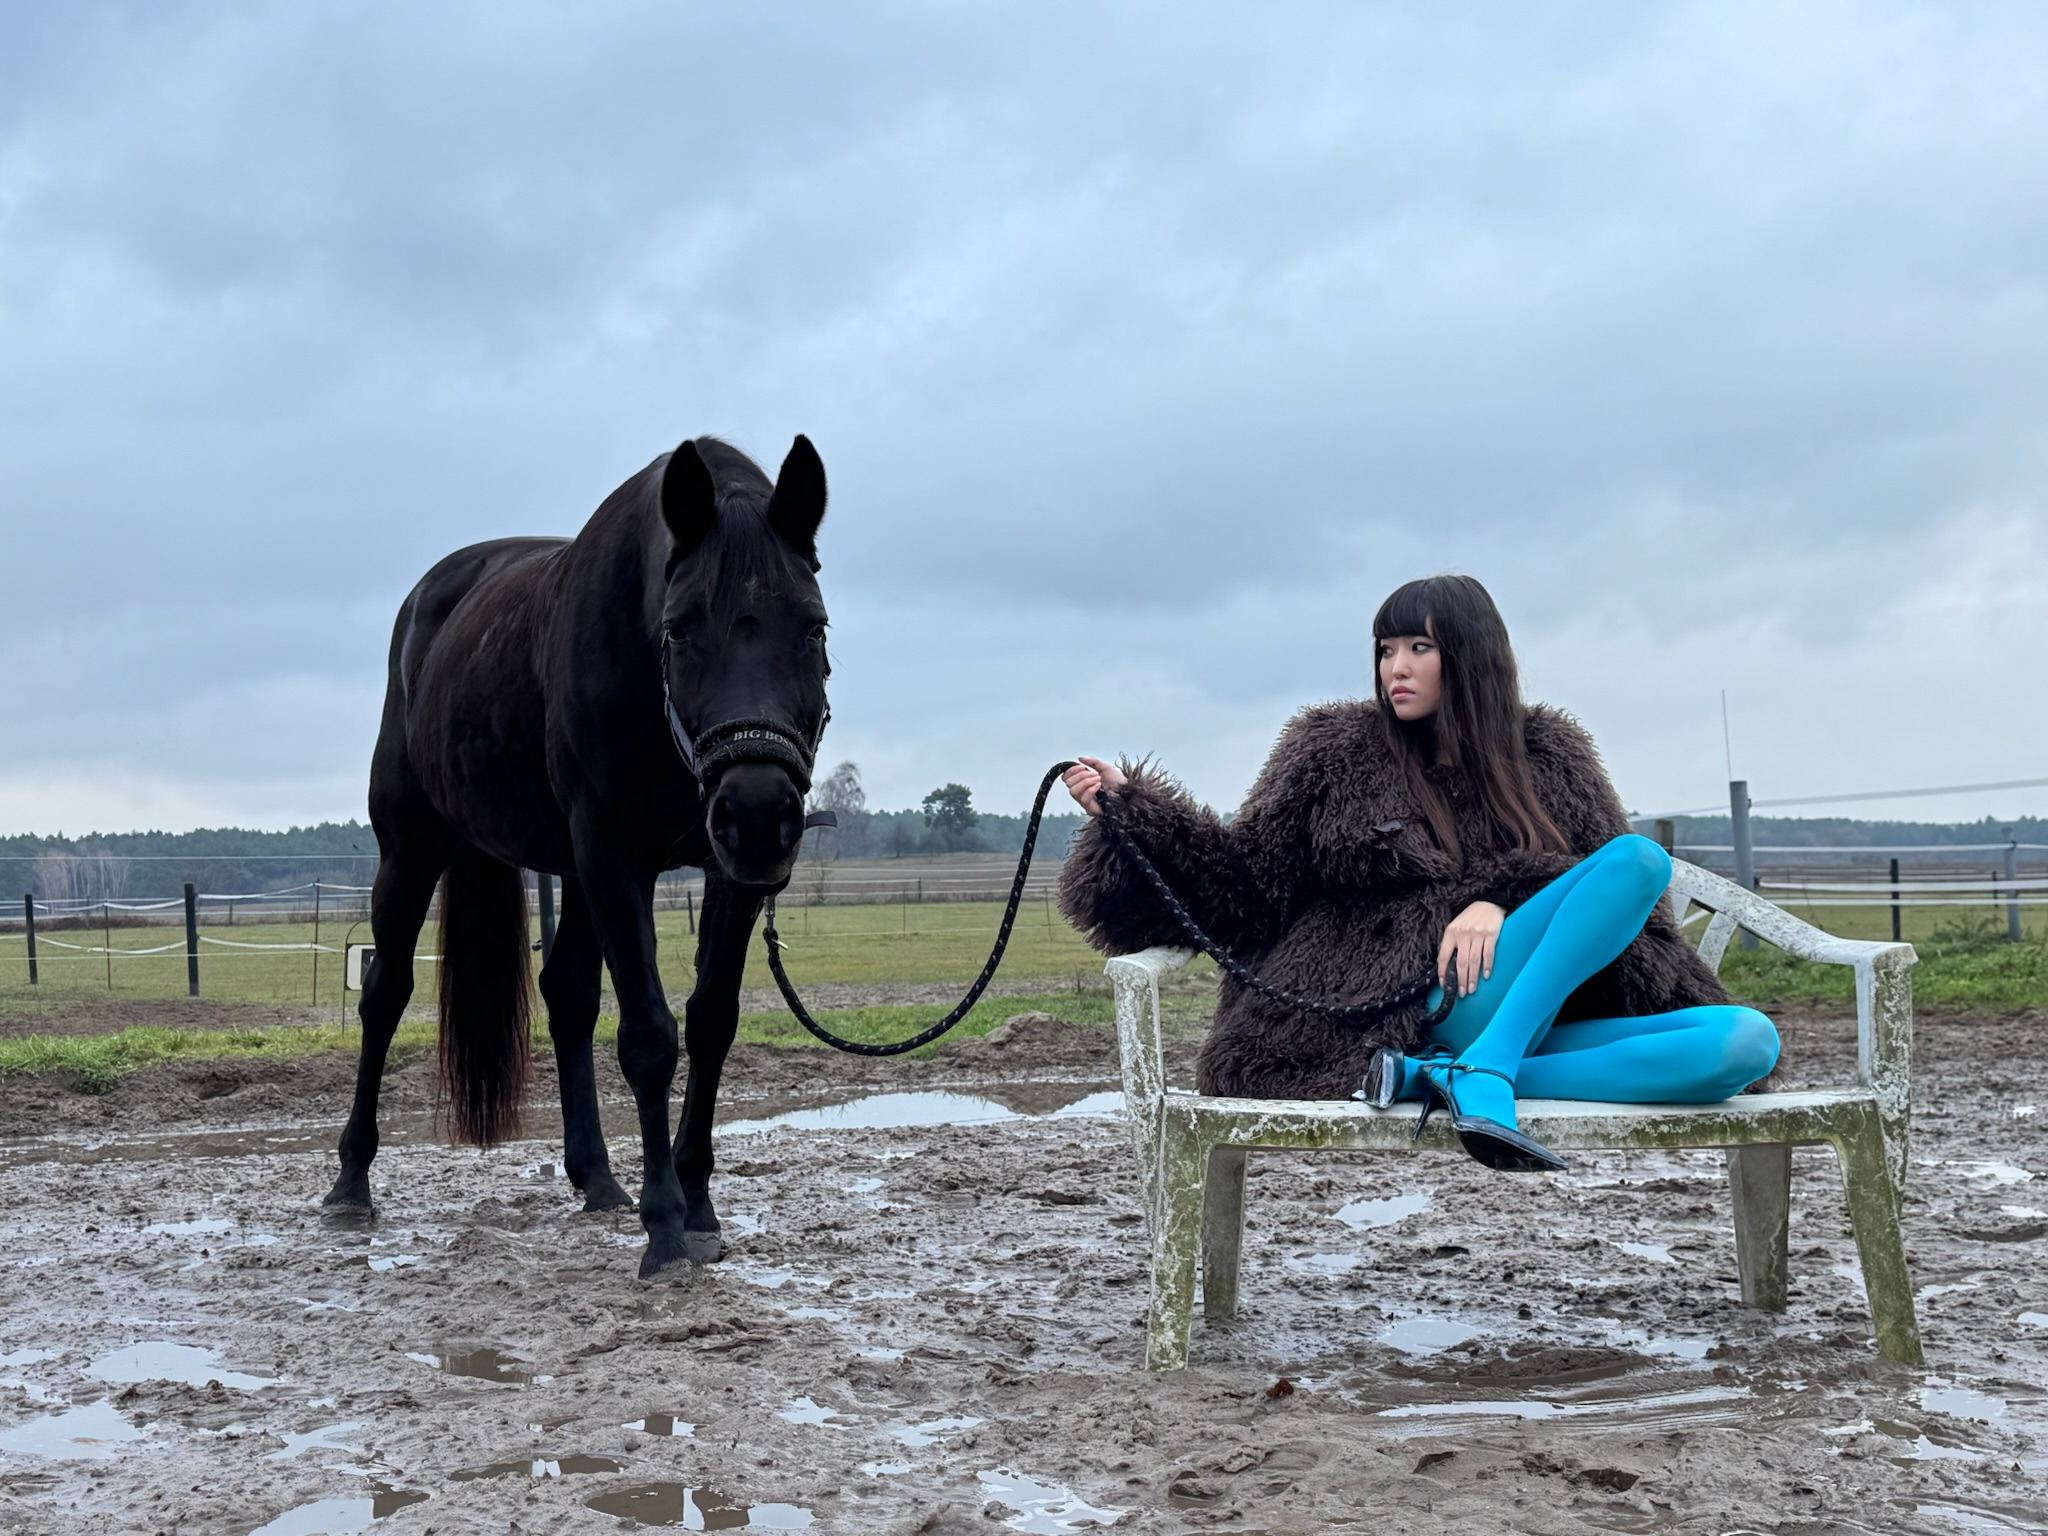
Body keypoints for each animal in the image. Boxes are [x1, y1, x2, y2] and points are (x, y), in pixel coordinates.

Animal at [322, 434, 833, 1276]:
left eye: (814, 626)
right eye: (679, 629)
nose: (760, 814)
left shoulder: (724, 874)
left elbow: (710, 1023)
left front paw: (697, 1205)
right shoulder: (613, 857)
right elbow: (650, 1038)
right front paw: (665, 1228)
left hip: (571, 868)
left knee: (565, 994)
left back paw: (595, 1177)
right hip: (413, 849)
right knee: (384, 995)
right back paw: (350, 1182)